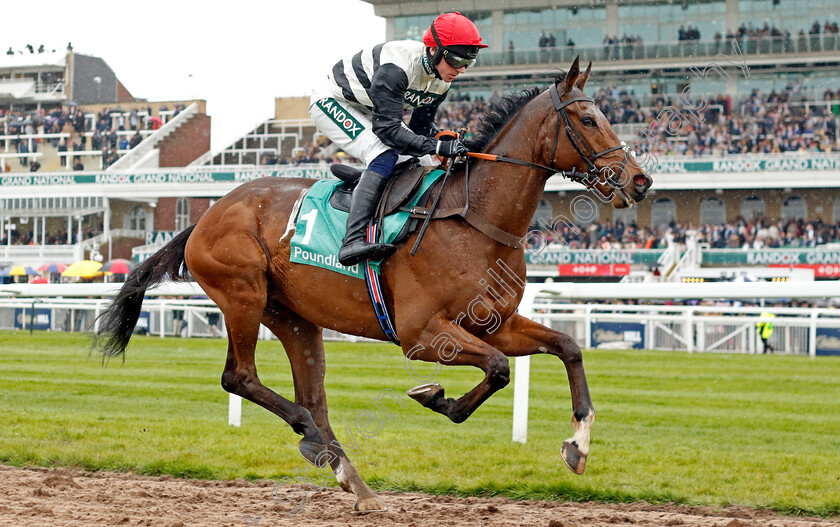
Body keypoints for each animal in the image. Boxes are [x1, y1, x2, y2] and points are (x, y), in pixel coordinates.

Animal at [95, 57, 652, 512]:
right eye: (587, 119)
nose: (640, 181)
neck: (475, 219)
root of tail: (206, 215)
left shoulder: (495, 324)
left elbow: (566, 347)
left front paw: (578, 445)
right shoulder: (421, 335)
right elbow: (496, 369)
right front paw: (435, 396)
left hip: (294, 318)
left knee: (313, 396)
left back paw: (350, 477)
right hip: (242, 296)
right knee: (242, 378)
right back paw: (310, 436)